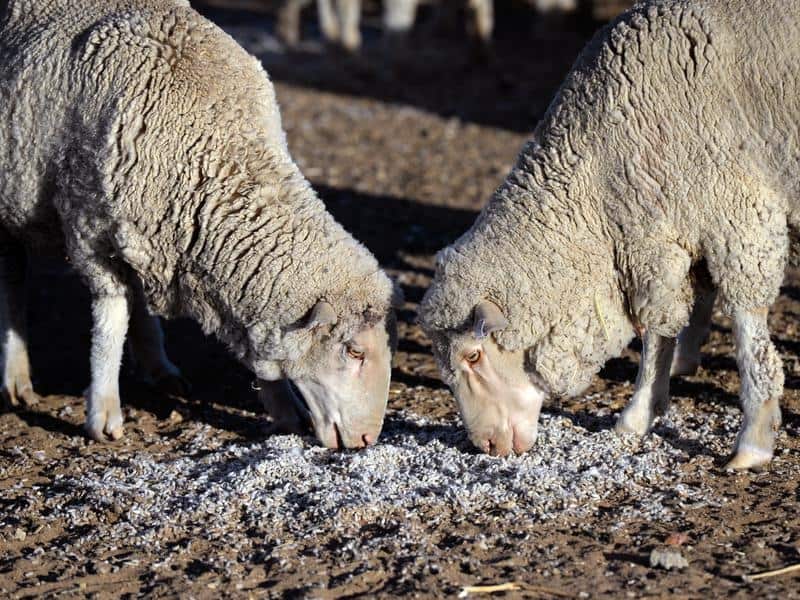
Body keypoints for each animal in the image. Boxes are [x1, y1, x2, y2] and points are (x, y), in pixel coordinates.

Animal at [0, 0, 398, 448]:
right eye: (354, 352)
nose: (367, 439)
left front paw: (282, 408)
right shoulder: (89, 231)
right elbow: (109, 323)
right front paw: (102, 412)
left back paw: (158, 366)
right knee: (13, 279)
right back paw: (16, 376)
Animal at [419, 0, 799, 470]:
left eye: (472, 355)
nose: (488, 446)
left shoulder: (739, 217)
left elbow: (748, 335)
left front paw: (754, 439)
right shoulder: (656, 237)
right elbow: (659, 330)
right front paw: (639, 414)